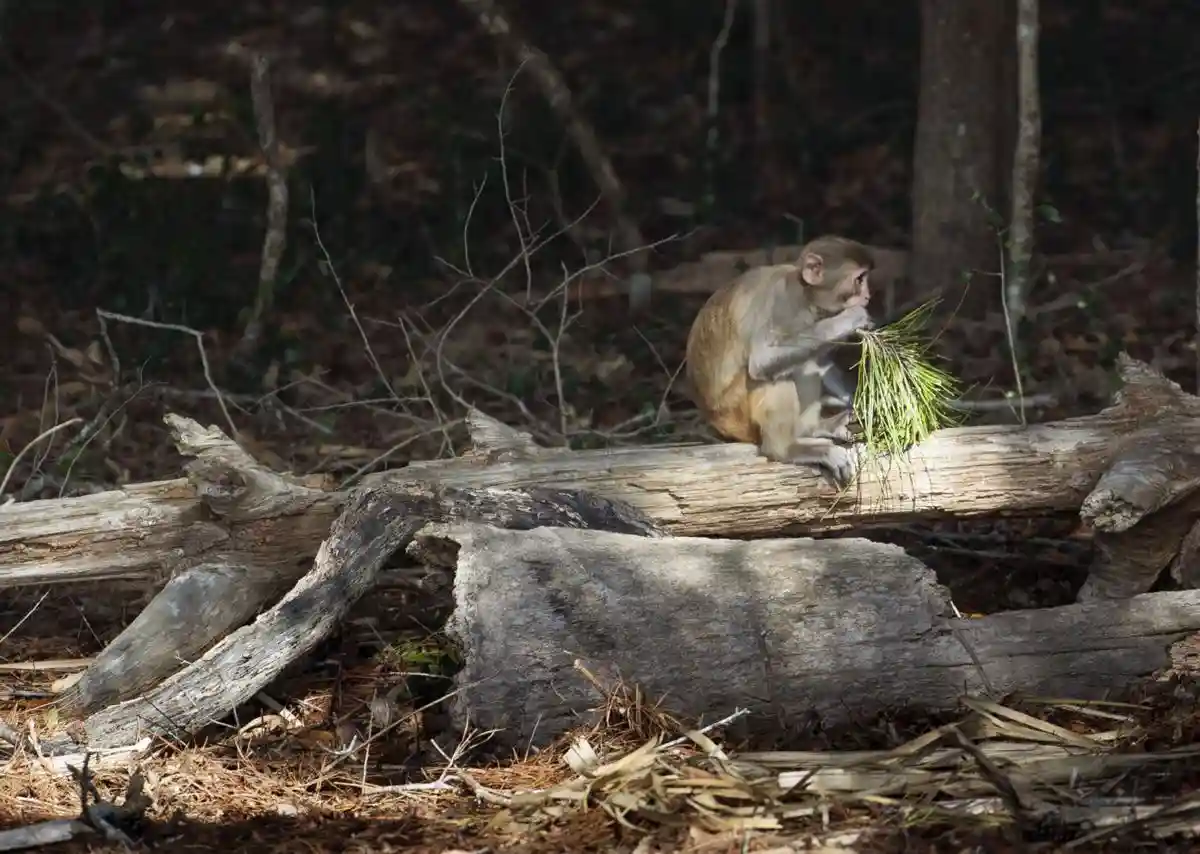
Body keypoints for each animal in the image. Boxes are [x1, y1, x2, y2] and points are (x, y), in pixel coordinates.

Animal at [685, 235, 875, 487]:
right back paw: (786, 448)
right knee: (773, 375)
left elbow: (822, 361)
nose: (868, 296)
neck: (806, 296)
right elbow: (762, 361)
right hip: (733, 413)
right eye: (859, 279)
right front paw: (851, 319)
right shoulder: (783, 301)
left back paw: (811, 430)